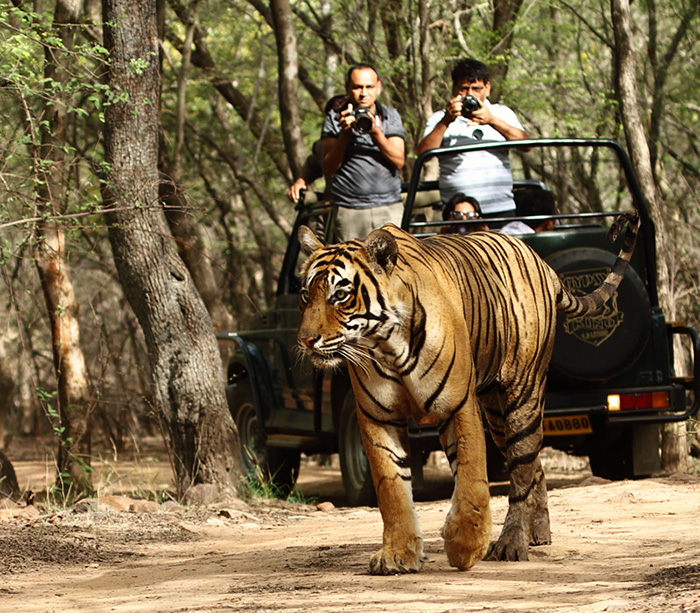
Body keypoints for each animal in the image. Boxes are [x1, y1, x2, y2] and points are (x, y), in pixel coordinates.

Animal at [296, 210, 640, 572]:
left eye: (340, 295)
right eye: (305, 295)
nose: (305, 340)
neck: (385, 343)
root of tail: (544, 264)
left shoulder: (457, 405)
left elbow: (472, 477)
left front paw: (466, 546)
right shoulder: (377, 417)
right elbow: (391, 488)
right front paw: (397, 553)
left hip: (523, 395)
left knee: (521, 471)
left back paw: (511, 544)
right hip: (497, 414)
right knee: (534, 465)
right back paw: (539, 533)